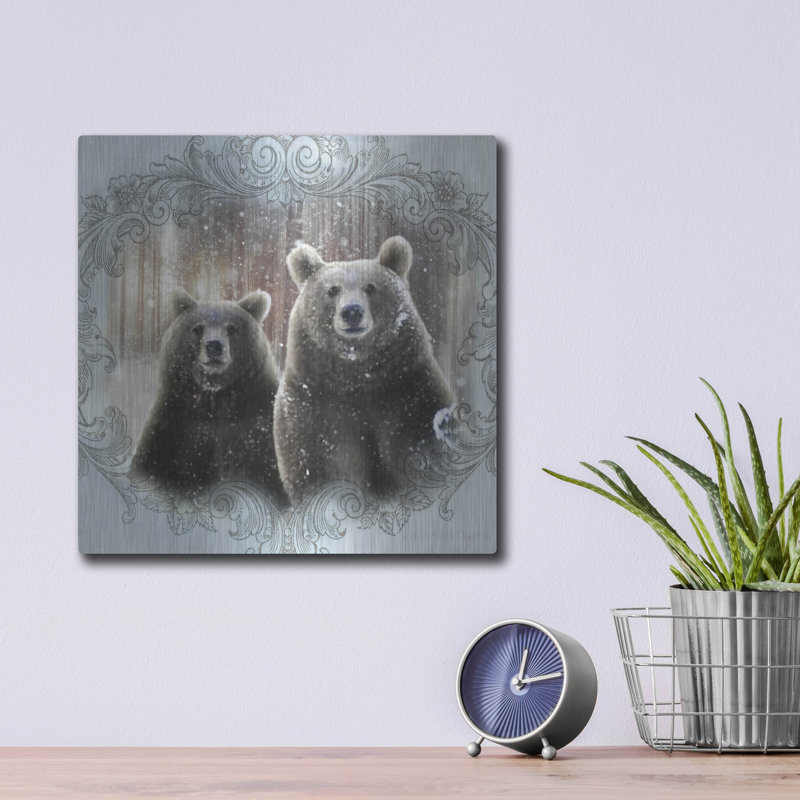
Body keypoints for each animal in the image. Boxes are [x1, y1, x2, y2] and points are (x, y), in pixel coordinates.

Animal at [130, 289, 287, 505]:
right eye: (198, 327)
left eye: (231, 328)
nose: (214, 346)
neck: (215, 400)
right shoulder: (172, 428)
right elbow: (150, 468)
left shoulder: (258, 429)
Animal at [274, 235, 452, 505]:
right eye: (332, 289)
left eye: (370, 287)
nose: (352, 311)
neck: (356, 375)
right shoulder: (312, 406)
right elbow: (313, 464)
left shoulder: (411, 397)